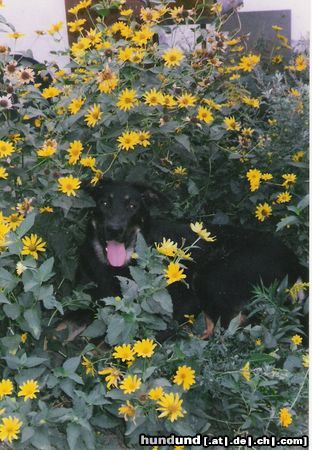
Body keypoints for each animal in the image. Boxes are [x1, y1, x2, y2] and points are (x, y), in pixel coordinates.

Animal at [77, 179, 306, 338]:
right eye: (104, 203)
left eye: (132, 206)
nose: (114, 229)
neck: (118, 267)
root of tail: (295, 262)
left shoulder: (183, 302)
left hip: (214, 277)